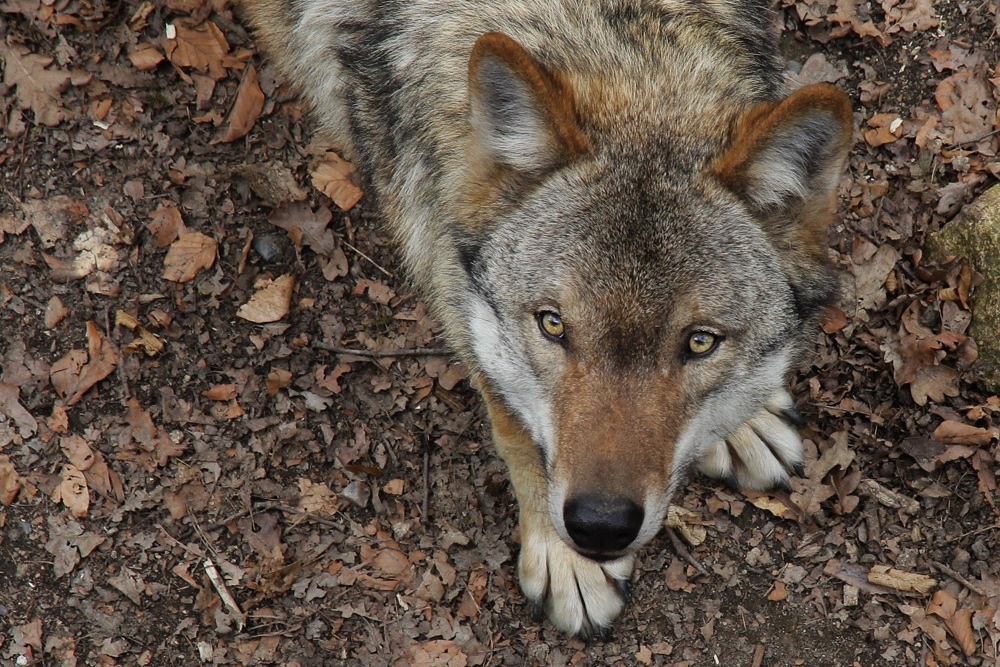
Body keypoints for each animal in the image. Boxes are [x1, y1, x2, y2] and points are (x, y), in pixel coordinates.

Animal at [236, 0, 852, 636]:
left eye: (701, 343)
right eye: (553, 325)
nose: (600, 526)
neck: (607, 36)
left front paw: (746, 420)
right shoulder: (441, 257)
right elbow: (512, 421)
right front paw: (564, 560)